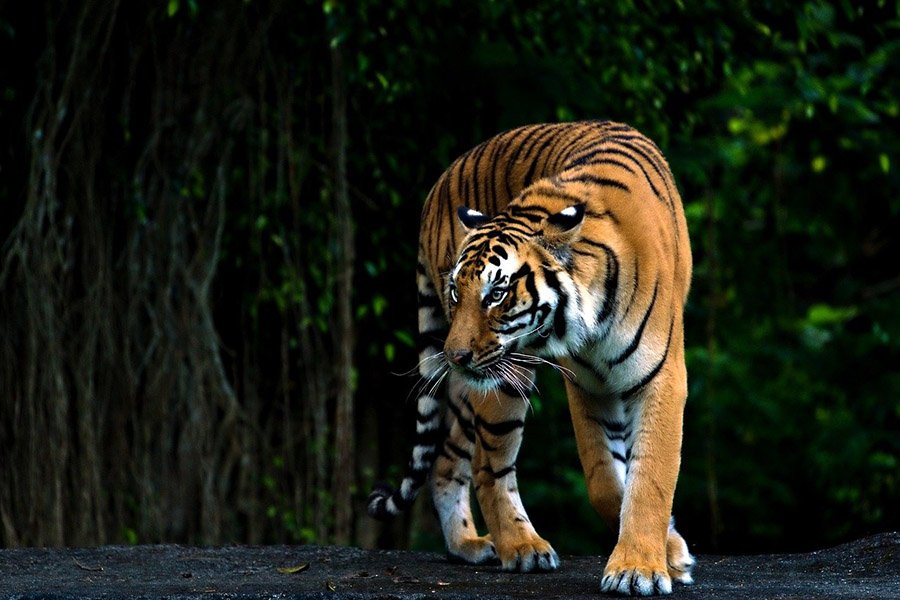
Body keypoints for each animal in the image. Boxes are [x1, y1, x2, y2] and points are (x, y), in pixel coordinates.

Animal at [368, 120, 695, 596]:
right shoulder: (586, 385)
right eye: (457, 291)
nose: (455, 355)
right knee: (487, 467)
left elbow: (649, 476)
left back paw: (466, 545)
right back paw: (521, 547)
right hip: (502, 378)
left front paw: (642, 566)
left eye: (496, 294)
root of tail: (437, 186)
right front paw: (659, 557)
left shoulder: (658, 378)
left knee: (448, 458)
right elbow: (603, 479)